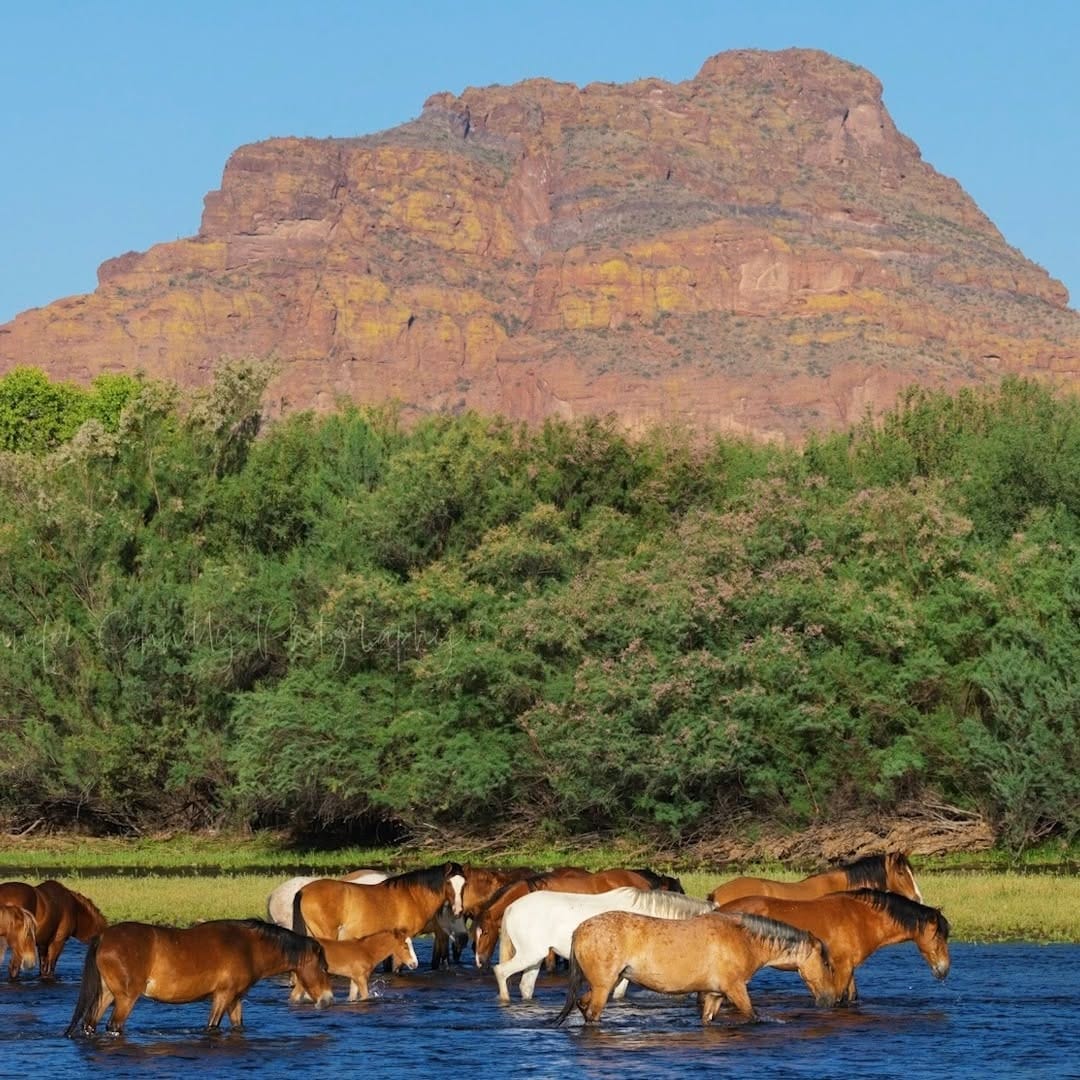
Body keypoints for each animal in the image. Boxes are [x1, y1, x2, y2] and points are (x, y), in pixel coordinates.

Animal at [64, 919, 333, 1037]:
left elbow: (238, 1026)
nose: (329, 1000)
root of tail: (104, 937)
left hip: (108, 994)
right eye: (323, 968)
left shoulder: (235, 999)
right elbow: (212, 1027)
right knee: (114, 1026)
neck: (248, 947)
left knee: (90, 1024)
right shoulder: (223, 995)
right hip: (126, 998)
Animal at [554, 910, 836, 1025]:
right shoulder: (736, 990)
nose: (831, 999)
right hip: (604, 986)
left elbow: (708, 1020)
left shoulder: (714, 995)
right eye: (825, 961)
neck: (744, 938)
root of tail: (580, 929)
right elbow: (753, 1016)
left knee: (583, 1005)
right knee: (592, 1015)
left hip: (605, 984)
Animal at [717, 888, 950, 1004]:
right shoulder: (842, 968)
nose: (944, 969)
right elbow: (838, 998)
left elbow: (851, 997)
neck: (861, 918)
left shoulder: (849, 968)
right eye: (939, 937)